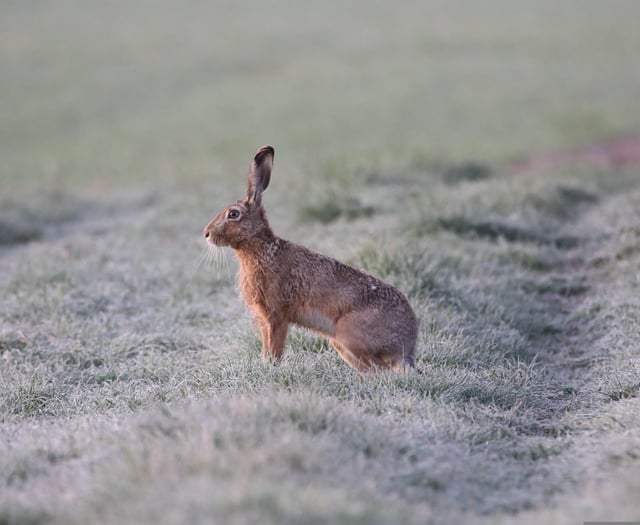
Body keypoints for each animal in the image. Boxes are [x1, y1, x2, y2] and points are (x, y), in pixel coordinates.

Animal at [203, 145, 418, 372]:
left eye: (233, 214)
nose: (206, 234)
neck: (258, 248)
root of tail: (407, 346)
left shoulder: (276, 316)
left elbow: (274, 349)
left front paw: (270, 368)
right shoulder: (265, 319)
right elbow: (265, 348)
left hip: (348, 335)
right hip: (340, 344)